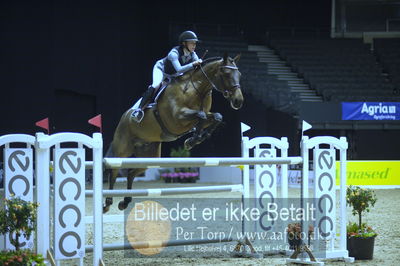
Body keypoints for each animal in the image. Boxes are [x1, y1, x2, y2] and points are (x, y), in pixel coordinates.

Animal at [103, 53, 244, 213]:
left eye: (239, 74)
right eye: (226, 73)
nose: (238, 101)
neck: (197, 89)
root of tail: (125, 116)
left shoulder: (202, 115)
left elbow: (216, 117)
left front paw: (194, 139)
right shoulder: (177, 118)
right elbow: (201, 115)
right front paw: (193, 139)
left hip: (149, 155)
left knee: (131, 172)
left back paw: (125, 202)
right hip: (123, 148)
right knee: (114, 170)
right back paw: (107, 203)